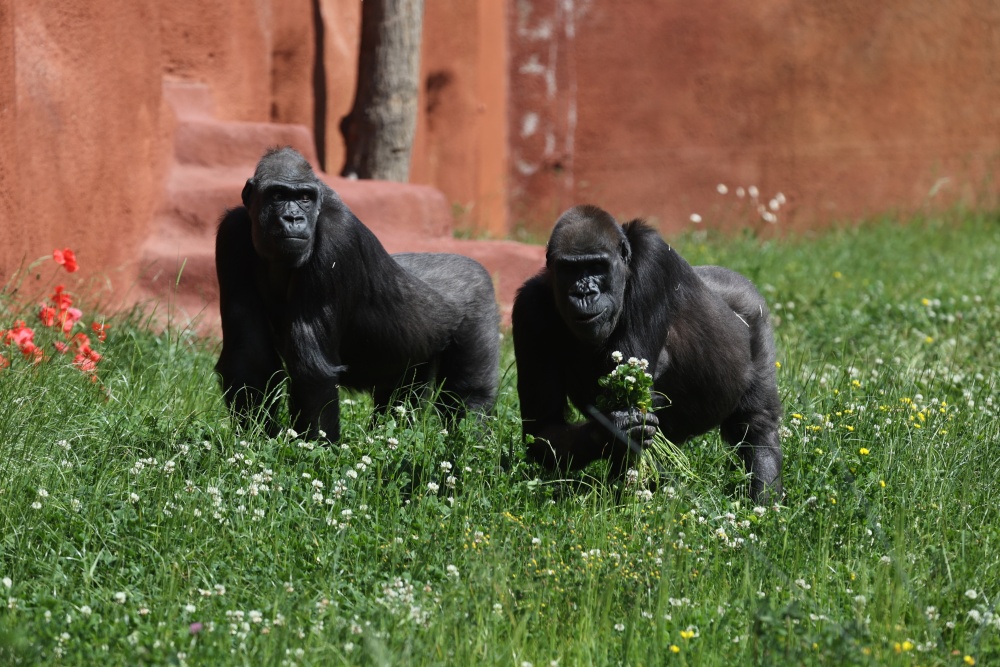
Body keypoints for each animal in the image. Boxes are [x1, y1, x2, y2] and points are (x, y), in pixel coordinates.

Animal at [217, 147, 500, 440]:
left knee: (468, 392)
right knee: (403, 397)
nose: (294, 218)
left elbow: (312, 370)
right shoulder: (231, 233)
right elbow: (248, 353)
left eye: (305, 198)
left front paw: (315, 448)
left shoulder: (336, 237)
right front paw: (255, 437)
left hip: (477, 295)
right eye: (277, 196)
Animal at [512, 204, 784, 500]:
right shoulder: (528, 309)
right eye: (570, 269)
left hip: (754, 310)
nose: (584, 293)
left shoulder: (651, 258)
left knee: (756, 421)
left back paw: (764, 491)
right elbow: (544, 428)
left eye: (596, 266)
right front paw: (613, 431)